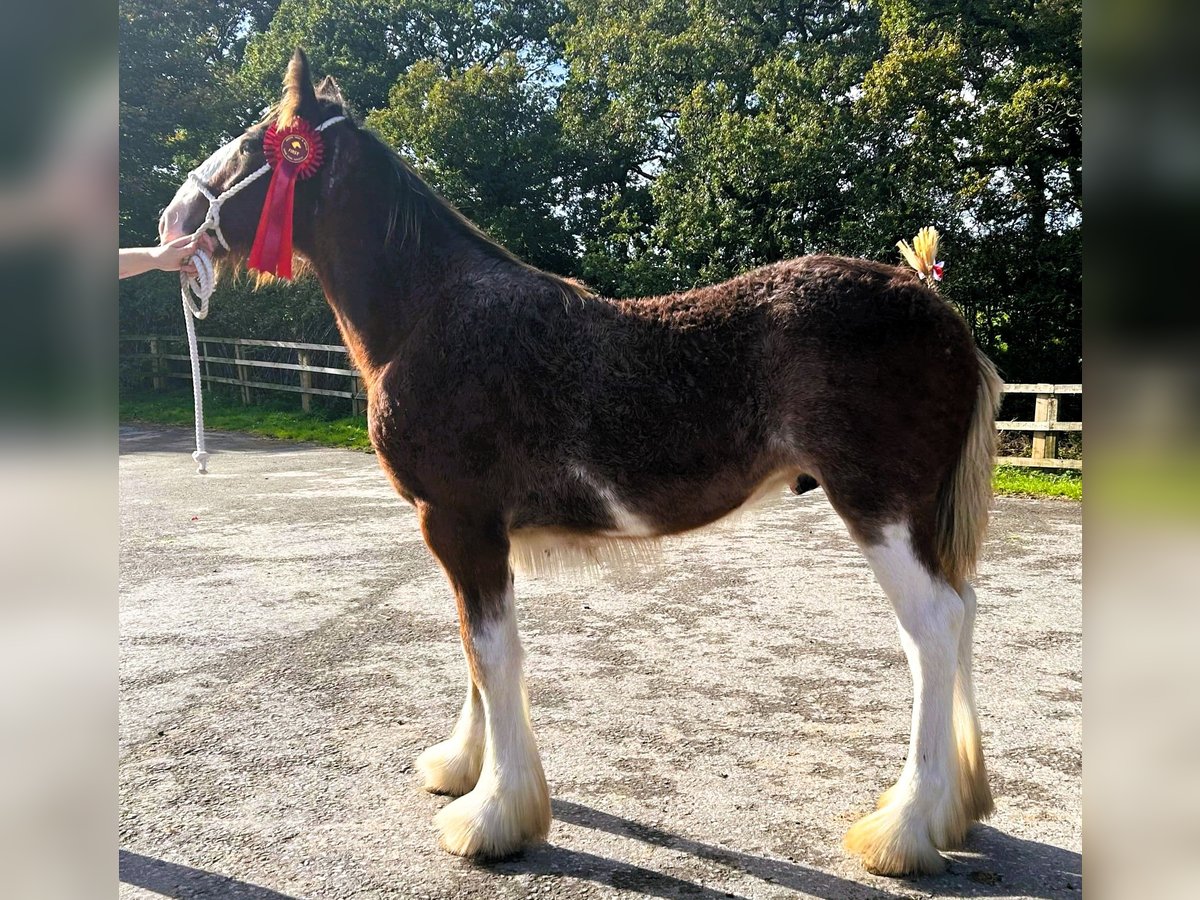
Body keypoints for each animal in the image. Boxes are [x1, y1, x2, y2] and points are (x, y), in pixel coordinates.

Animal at [159, 51, 1003, 883]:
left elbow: (494, 654)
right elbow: (472, 648)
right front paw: (462, 768)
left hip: (878, 507)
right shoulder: (465, 532)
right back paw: (954, 811)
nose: (172, 222)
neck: (431, 314)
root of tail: (938, 310)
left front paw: (492, 818)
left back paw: (902, 830)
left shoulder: (461, 522)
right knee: (960, 615)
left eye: (252, 145)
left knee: (933, 629)